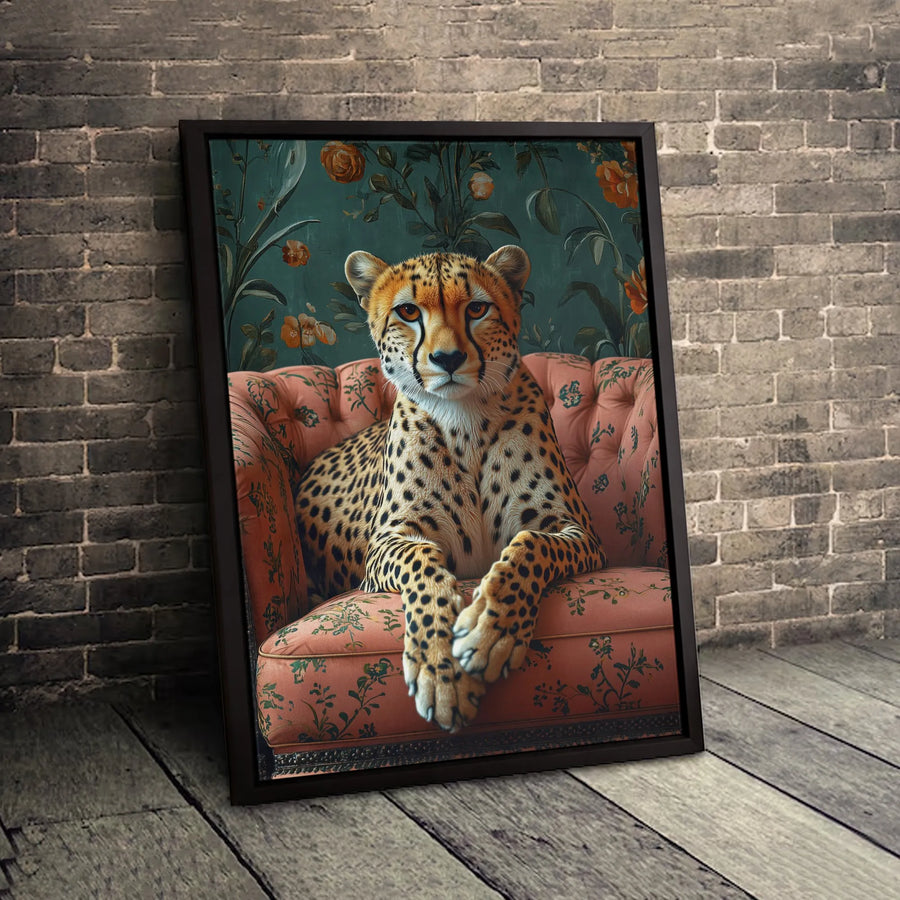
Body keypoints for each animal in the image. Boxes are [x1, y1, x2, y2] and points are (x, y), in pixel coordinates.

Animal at [295, 245, 606, 732]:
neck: (464, 419)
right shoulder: (387, 543)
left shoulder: (576, 532)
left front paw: (489, 631)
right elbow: (423, 562)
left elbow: (529, 544)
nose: (448, 358)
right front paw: (438, 669)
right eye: (408, 311)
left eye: (477, 308)